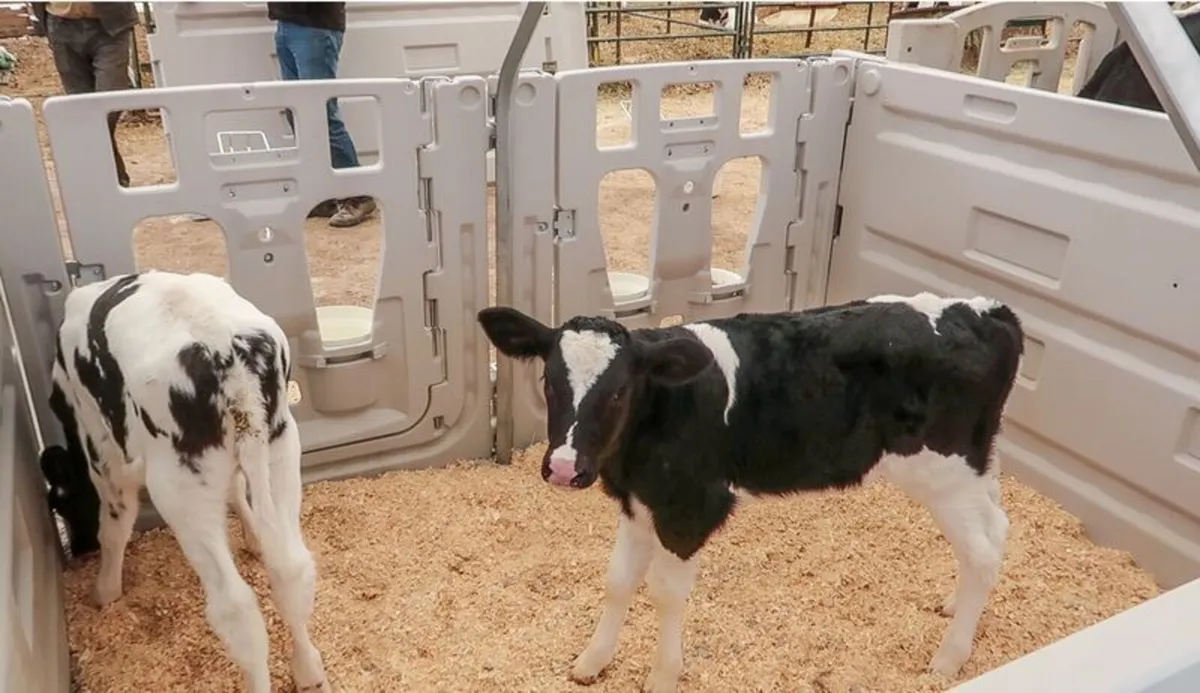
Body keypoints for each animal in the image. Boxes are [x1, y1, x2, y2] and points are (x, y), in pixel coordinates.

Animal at [39, 270, 328, 693]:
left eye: (59, 501)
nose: (78, 550)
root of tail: (224, 352)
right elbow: (237, 490)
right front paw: (253, 537)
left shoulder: (103, 449)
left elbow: (115, 524)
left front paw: (104, 591)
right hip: (282, 451)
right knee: (292, 570)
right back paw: (309, 671)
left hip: (177, 487)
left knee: (235, 607)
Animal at [478, 292, 1024, 692]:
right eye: (550, 382)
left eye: (617, 392)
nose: (564, 468)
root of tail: (989, 311)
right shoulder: (639, 502)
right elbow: (618, 581)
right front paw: (592, 661)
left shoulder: (691, 507)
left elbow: (665, 593)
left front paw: (662, 676)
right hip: (977, 467)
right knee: (998, 526)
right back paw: (954, 605)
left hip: (945, 473)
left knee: (982, 552)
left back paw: (948, 657)